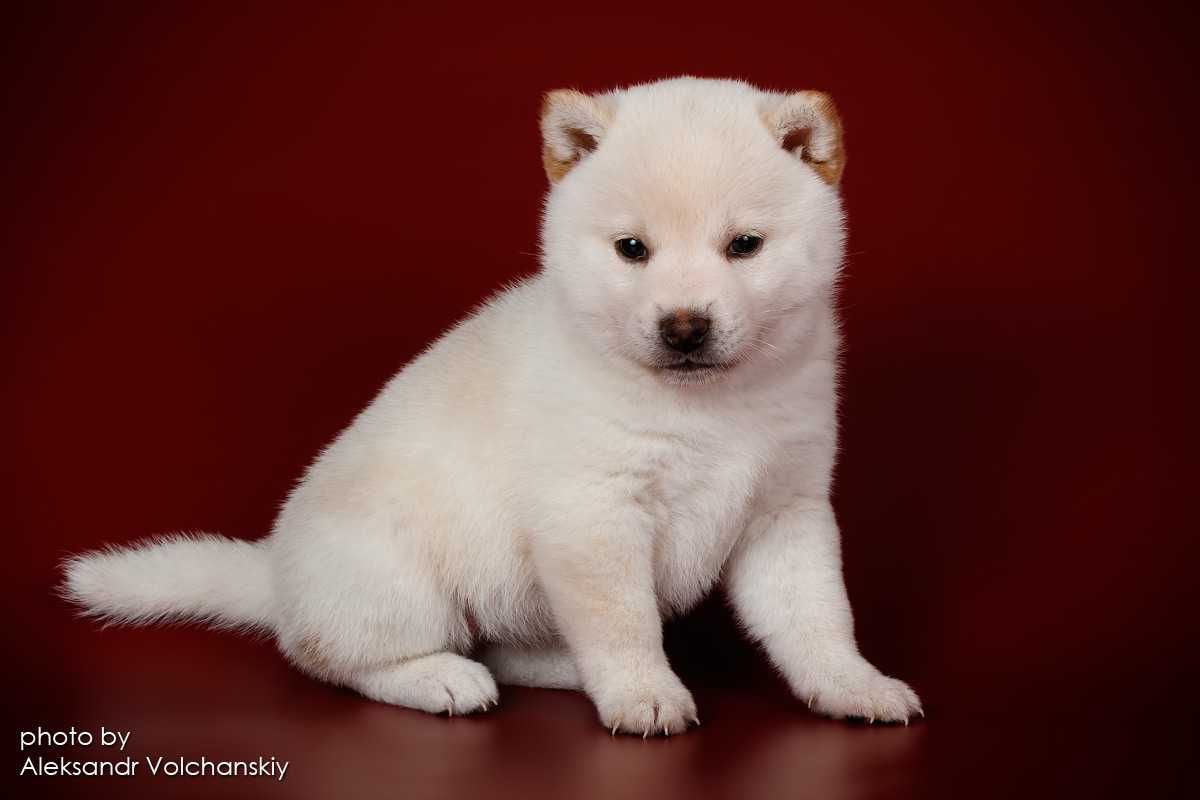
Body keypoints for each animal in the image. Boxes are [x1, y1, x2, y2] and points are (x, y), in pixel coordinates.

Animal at [63, 76, 916, 738]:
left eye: (744, 245)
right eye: (631, 249)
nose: (683, 328)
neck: (713, 407)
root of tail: (275, 575)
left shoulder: (786, 509)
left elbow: (816, 619)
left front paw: (852, 684)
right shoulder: (596, 513)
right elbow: (624, 621)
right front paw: (644, 693)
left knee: (497, 644)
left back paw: (557, 666)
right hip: (398, 579)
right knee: (336, 657)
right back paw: (442, 679)